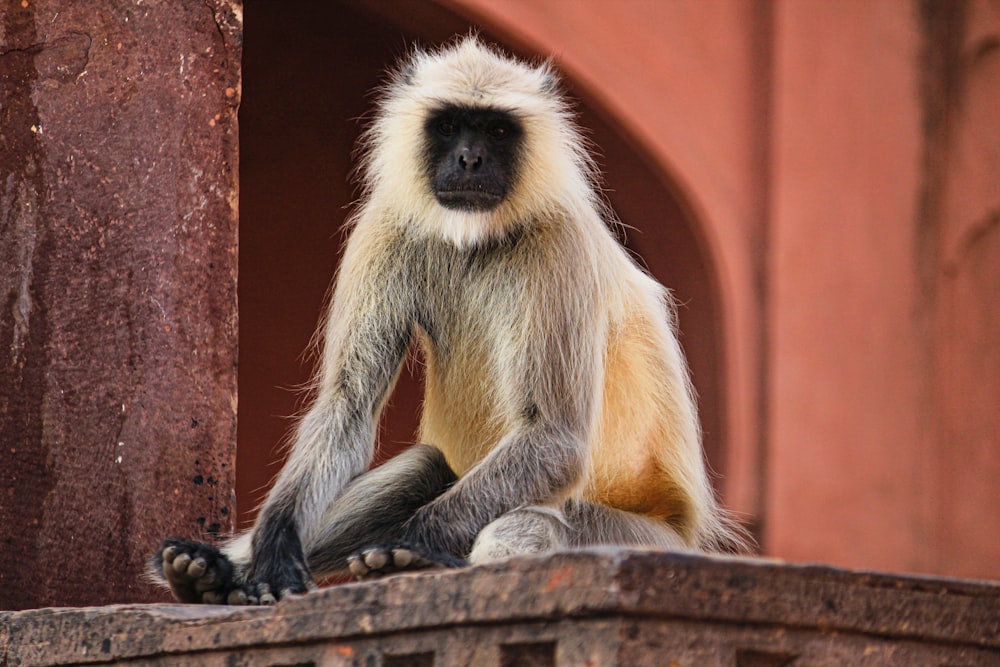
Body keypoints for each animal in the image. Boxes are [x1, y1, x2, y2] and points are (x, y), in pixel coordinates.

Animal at [152, 37, 748, 612]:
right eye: (448, 125)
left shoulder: (561, 244)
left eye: (496, 129)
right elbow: (349, 404)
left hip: (644, 538)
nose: (469, 159)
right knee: (425, 464)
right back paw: (208, 575)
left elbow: (554, 438)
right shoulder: (386, 224)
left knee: (532, 518)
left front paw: (409, 545)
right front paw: (273, 547)